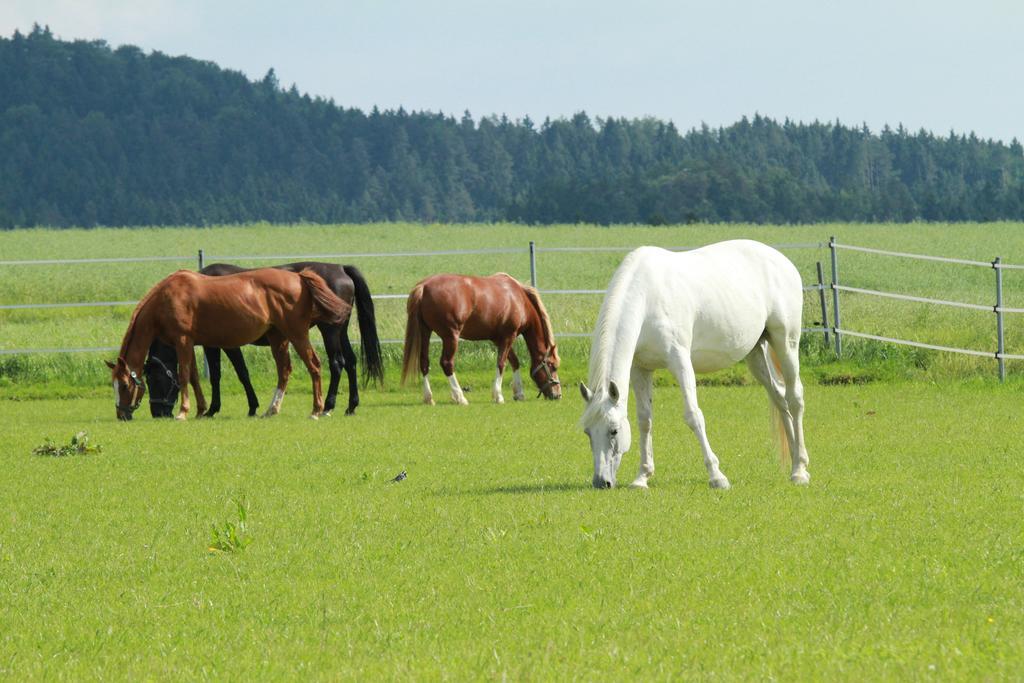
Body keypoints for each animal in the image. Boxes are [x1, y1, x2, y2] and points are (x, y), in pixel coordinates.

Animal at [105, 268, 350, 419]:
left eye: (125, 385)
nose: (121, 414)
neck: (167, 298)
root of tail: (299, 277)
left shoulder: (182, 340)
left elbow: (183, 375)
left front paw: (183, 412)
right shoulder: (192, 343)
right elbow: (194, 376)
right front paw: (201, 410)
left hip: (297, 335)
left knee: (314, 366)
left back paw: (317, 409)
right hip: (277, 338)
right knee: (285, 371)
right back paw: (271, 409)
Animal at [399, 272, 561, 403]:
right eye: (553, 366)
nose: (558, 395)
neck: (519, 299)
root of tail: (424, 287)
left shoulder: (499, 338)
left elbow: (514, 362)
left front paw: (519, 393)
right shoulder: (509, 336)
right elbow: (501, 363)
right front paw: (498, 396)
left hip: (425, 331)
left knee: (424, 362)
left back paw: (429, 398)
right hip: (450, 336)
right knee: (447, 363)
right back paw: (460, 397)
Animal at [581, 240, 811, 491]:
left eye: (613, 430)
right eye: (587, 432)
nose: (601, 482)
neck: (646, 297)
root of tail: (783, 261)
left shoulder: (680, 361)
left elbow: (693, 415)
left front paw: (717, 476)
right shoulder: (641, 369)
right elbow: (644, 420)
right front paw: (642, 477)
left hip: (786, 342)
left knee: (795, 398)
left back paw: (799, 471)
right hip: (755, 354)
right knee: (780, 399)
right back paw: (796, 463)